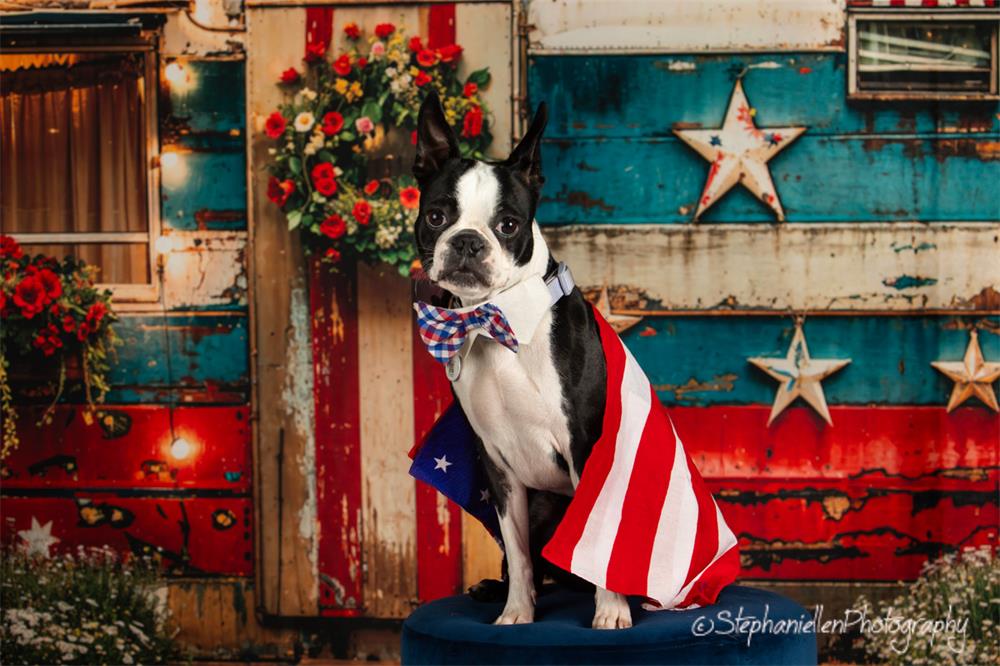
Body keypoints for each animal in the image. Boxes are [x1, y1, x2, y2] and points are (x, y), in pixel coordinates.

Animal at [408, 94, 628, 628]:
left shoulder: (587, 443)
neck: (496, 318)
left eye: (507, 225)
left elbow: (598, 534)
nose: (468, 241)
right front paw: (517, 612)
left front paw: (611, 611)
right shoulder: (496, 461)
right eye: (437, 217)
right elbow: (518, 549)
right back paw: (497, 588)